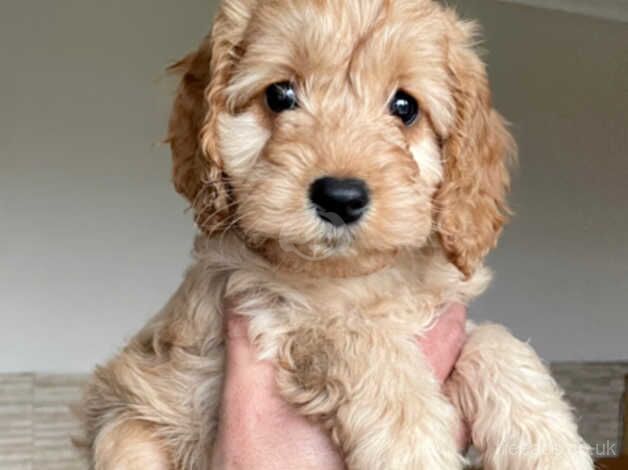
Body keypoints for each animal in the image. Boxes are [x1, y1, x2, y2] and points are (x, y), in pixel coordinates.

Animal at [76, 0, 592, 470]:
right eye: (280, 95)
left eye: (405, 106)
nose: (340, 197)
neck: (355, 277)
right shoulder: (269, 305)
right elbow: (356, 335)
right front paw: (413, 443)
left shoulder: (443, 312)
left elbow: (493, 341)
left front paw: (546, 442)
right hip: (125, 431)